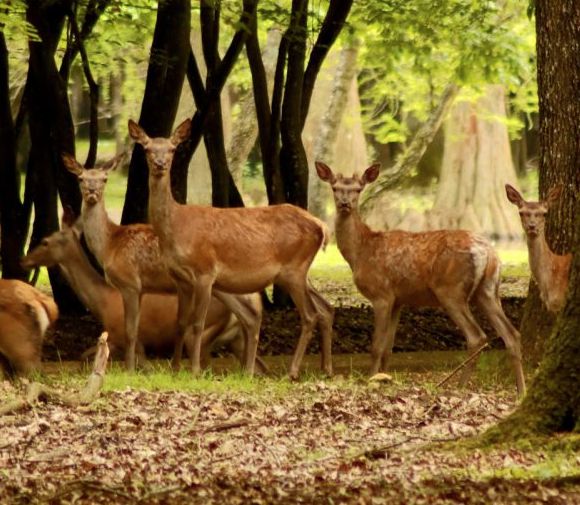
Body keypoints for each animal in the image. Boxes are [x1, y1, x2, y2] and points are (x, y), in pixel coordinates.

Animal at [19, 220, 270, 370]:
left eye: (44, 241)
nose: (24, 260)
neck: (103, 302)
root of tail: (257, 299)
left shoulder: (132, 340)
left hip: (206, 331)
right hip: (236, 339)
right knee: (259, 365)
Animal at [62, 151, 262, 370]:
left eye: (104, 179)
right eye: (81, 178)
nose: (92, 191)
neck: (109, 245)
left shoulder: (130, 282)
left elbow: (130, 331)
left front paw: (129, 369)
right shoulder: (140, 288)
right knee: (249, 317)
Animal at [129, 118, 334, 378]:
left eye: (173, 149)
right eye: (146, 148)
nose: (160, 164)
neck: (176, 228)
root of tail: (322, 226)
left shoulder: (205, 272)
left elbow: (197, 324)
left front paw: (195, 370)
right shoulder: (180, 279)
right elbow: (180, 323)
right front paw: (175, 369)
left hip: (294, 269)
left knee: (310, 315)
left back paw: (293, 371)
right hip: (299, 272)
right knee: (325, 308)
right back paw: (325, 368)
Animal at [314, 159, 528, 396]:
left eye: (358, 189)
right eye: (335, 188)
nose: (344, 203)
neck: (361, 252)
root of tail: (489, 253)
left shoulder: (381, 294)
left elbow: (376, 346)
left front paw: (371, 379)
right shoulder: (398, 300)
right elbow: (388, 348)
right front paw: (384, 378)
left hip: (450, 290)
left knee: (477, 336)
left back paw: (459, 386)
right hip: (488, 290)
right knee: (512, 334)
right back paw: (521, 390)